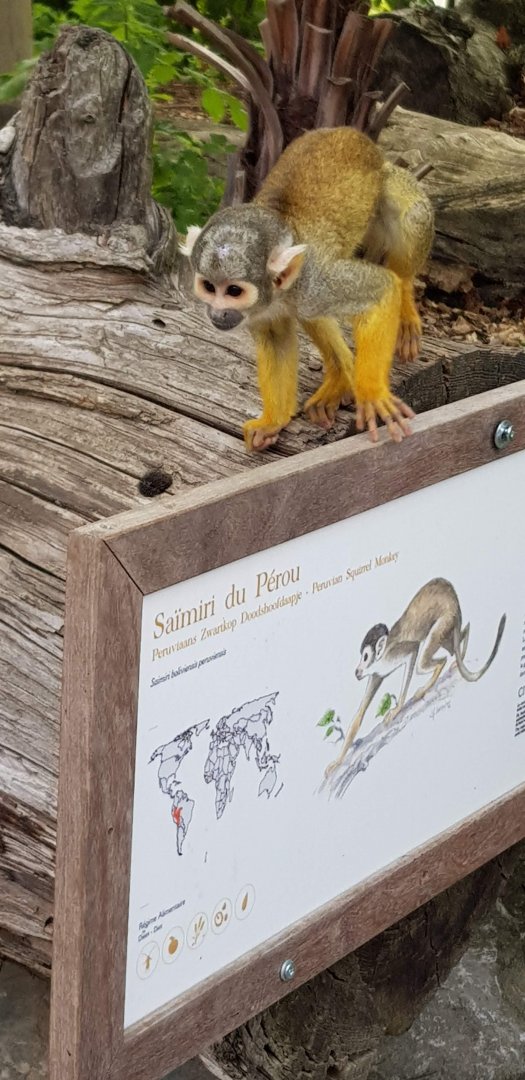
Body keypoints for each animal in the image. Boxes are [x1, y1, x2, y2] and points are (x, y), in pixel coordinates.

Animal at [180, 126, 434, 452]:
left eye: (234, 291)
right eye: (209, 287)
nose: (217, 314)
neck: (281, 293)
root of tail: (354, 133)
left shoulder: (315, 282)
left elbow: (381, 288)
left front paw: (373, 394)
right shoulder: (266, 309)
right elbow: (276, 339)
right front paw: (272, 421)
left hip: (388, 182)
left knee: (411, 217)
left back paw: (405, 303)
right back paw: (341, 372)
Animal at [325, 578, 506, 777]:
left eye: (365, 657)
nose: (357, 671)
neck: (381, 659)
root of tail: (455, 602)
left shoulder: (392, 656)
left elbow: (413, 650)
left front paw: (398, 708)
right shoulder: (376, 673)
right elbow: (360, 713)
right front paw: (337, 762)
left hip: (445, 620)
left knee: (426, 661)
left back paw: (437, 670)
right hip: (450, 625)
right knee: (455, 640)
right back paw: (464, 638)